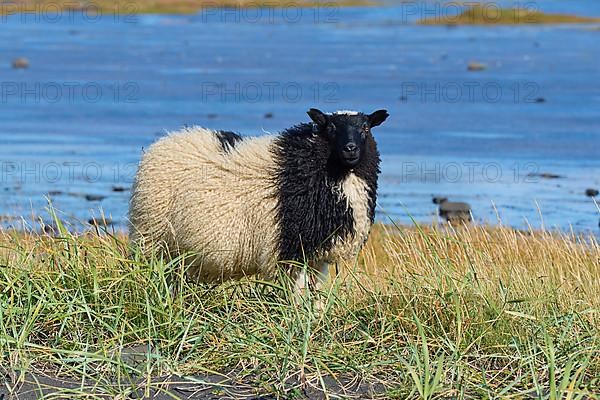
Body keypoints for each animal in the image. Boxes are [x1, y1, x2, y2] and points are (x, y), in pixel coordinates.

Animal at [129, 108, 390, 292]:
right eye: (332, 128)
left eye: (366, 128)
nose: (350, 148)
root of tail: (165, 141)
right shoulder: (287, 251)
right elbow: (296, 296)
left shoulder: (318, 255)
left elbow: (315, 296)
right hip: (152, 236)